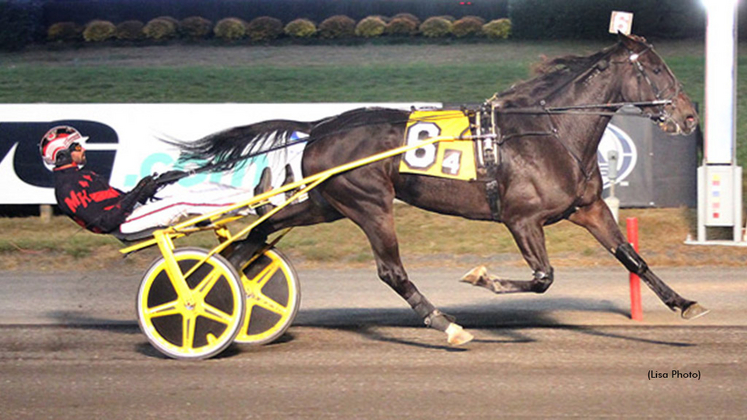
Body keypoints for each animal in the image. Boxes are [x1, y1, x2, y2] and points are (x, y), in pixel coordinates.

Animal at [178, 34, 712, 346]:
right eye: (657, 70)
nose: (690, 117)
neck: (552, 132)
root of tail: (323, 125)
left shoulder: (589, 207)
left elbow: (632, 258)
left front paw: (685, 304)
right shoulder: (521, 219)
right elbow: (543, 277)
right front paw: (482, 278)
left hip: (326, 202)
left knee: (257, 233)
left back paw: (219, 286)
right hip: (369, 203)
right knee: (391, 271)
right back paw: (446, 324)